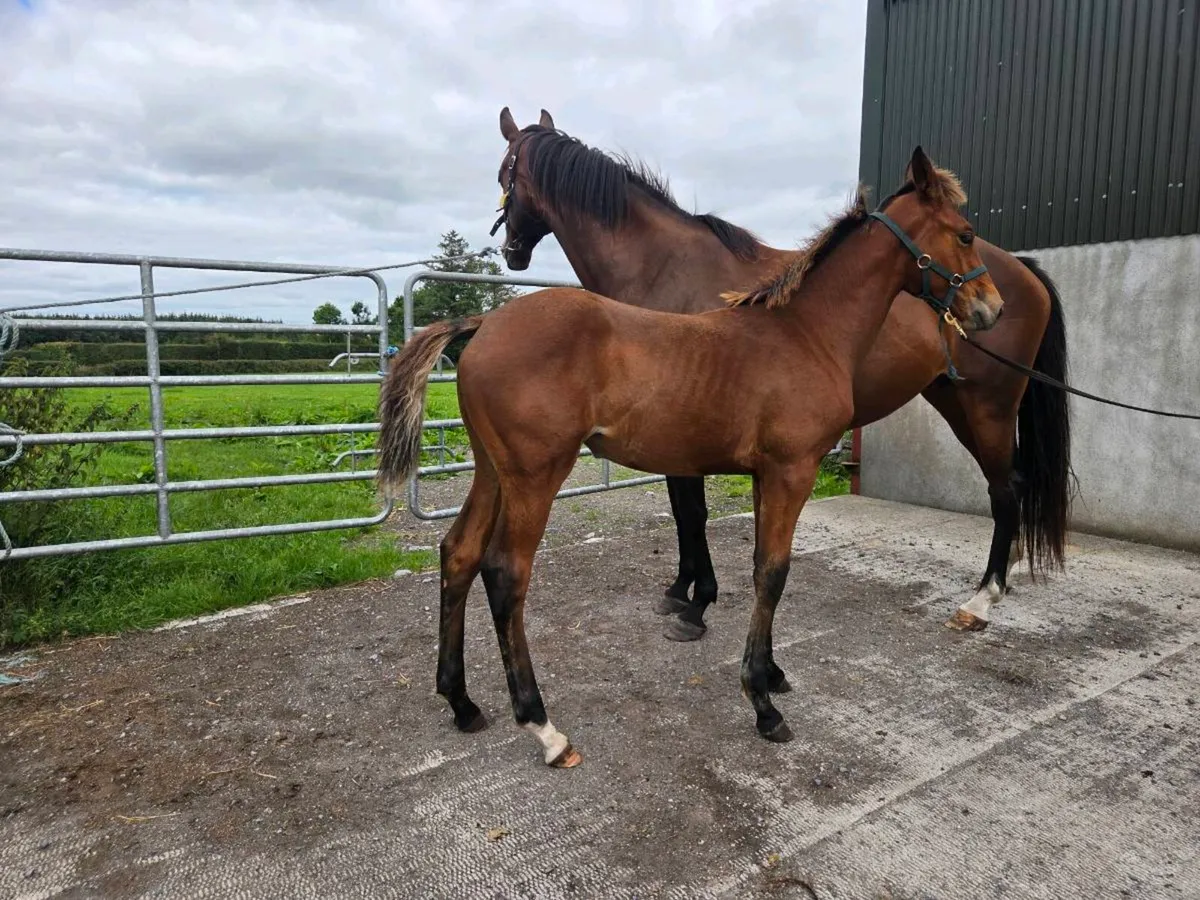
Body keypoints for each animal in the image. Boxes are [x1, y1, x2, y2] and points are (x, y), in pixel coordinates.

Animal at [377, 148, 1003, 766]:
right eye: (966, 234)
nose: (991, 310)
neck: (805, 331)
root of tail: (484, 322)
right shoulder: (792, 471)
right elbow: (773, 571)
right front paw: (763, 704)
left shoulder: (765, 474)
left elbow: (759, 565)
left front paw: (769, 673)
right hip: (535, 476)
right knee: (506, 573)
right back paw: (544, 728)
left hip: (492, 471)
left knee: (459, 553)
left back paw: (461, 702)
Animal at [489, 107, 1071, 640]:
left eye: (502, 175)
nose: (511, 253)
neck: (665, 268)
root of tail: (1020, 272)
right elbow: (682, 513)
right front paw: (680, 591)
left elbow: (692, 514)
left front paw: (697, 604)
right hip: (954, 399)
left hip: (988, 405)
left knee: (1006, 488)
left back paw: (983, 598)